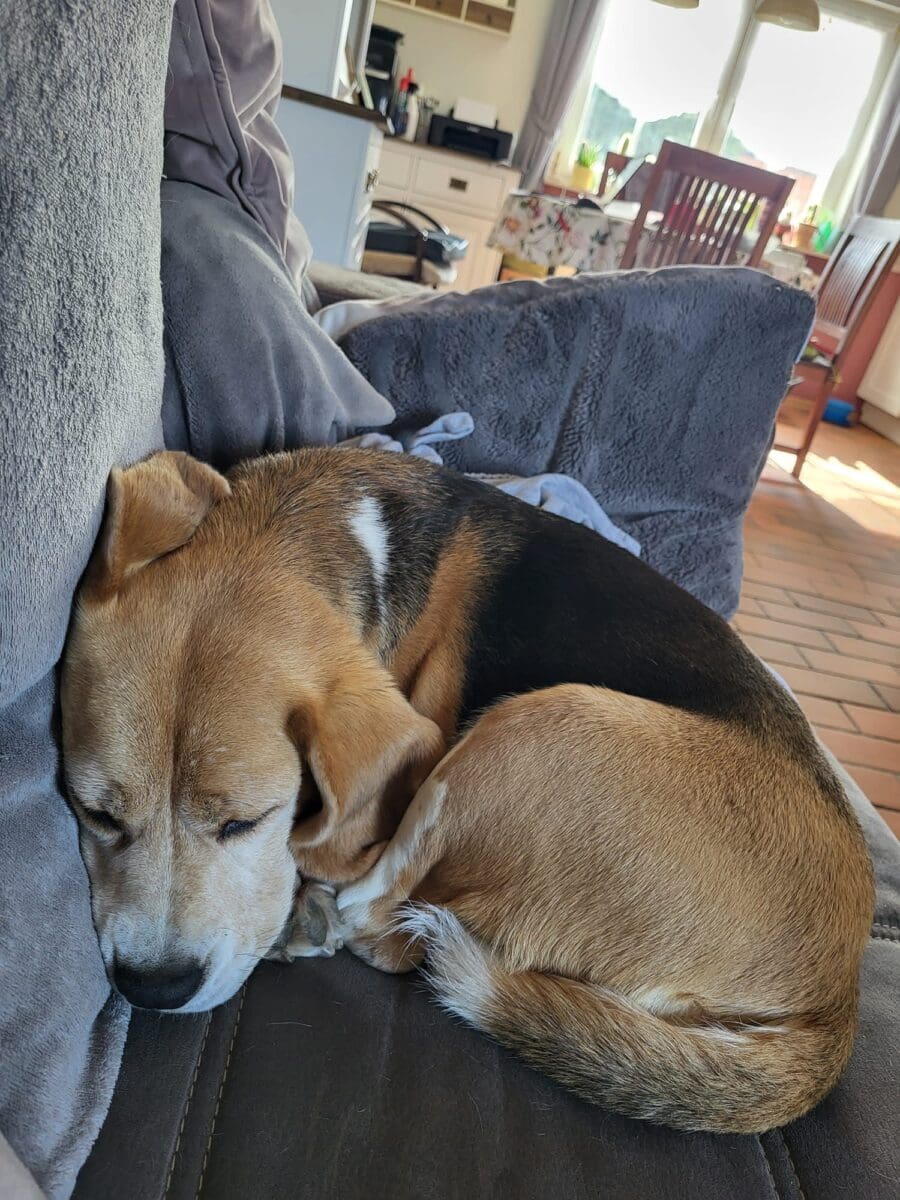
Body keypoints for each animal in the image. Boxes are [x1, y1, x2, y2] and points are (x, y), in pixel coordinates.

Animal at [60, 448, 873, 1131]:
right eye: (96, 814)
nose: (154, 987)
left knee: (381, 914)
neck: (313, 526)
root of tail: (835, 1002)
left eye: (247, 822)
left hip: (537, 725)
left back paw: (316, 918)